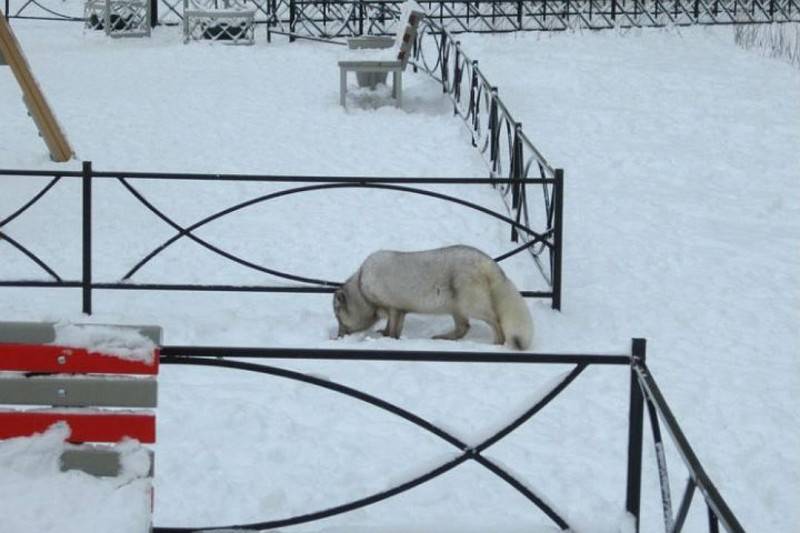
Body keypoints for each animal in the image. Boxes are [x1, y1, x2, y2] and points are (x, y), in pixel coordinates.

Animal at [332, 244, 532, 350]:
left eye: (339, 317)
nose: (338, 337)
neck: (361, 285)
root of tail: (489, 263)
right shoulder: (400, 310)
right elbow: (394, 327)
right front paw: (387, 335)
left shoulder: (393, 308)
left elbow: (393, 328)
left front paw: (388, 339)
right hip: (456, 307)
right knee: (463, 327)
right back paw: (442, 338)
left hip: (470, 304)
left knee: (495, 320)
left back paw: (496, 344)